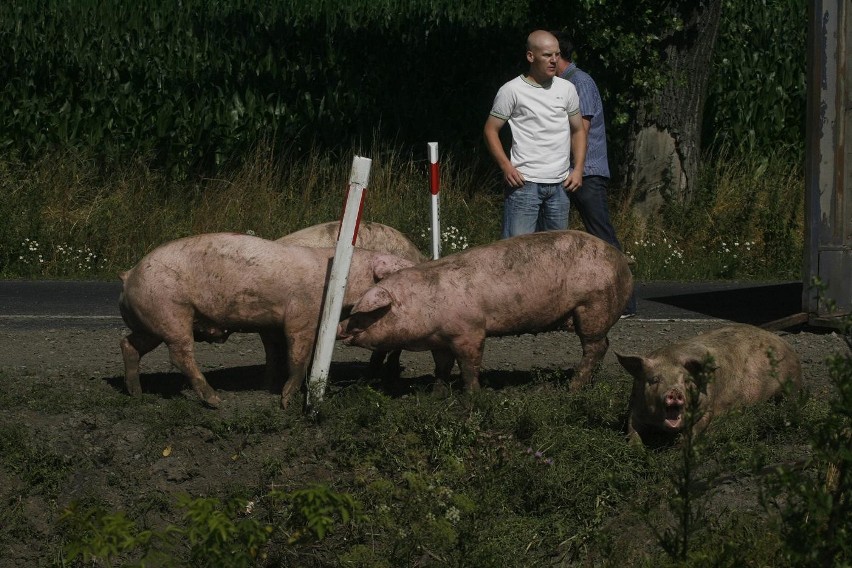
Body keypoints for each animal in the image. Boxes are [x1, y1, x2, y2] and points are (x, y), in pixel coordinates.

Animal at [117, 232, 416, 408]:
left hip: (151, 322)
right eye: (400, 268)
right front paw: (285, 400)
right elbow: (298, 355)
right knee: (180, 355)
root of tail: (128, 274)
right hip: (170, 312)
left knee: (128, 344)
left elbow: (285, 354)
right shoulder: (301, 315)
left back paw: (136, 394)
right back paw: (215, 401)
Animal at [336, 229, 636, 392]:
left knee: (596, 346)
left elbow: (469, 367)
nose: (339, 327)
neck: (424, 305)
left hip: (594, 307)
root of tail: (621, 258)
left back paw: (571, 389)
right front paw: (436, 394)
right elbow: (441, 368)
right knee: (603, 346)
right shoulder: (440, 340)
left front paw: (473, 395)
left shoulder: (469, 332)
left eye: (366, 313)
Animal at [616, 324, 804, 444]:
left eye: (686, 380)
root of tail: (787, 346)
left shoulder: (708, 406)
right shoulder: (635, 406)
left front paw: (679, 446)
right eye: (655, 379)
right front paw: (639, 450)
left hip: (792, 382)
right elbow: (632, 430)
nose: (674, 392)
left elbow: (696, 428)